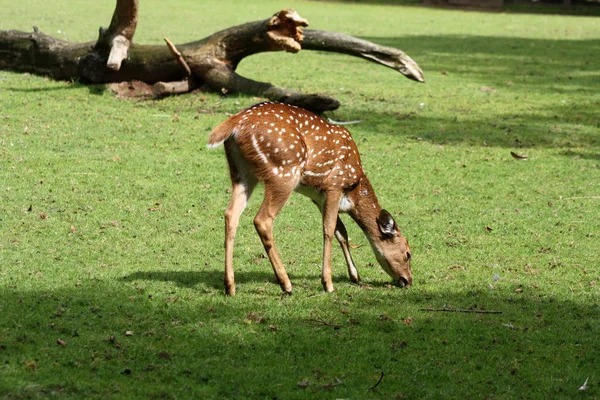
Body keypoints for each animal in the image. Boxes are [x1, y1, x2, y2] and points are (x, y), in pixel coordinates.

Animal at [209, 101, 410, 294]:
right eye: (408, 253)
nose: (408, 280)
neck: (354, 191)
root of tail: (235, 123)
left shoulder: (318, 198)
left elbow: (341, 232)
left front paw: (355, 276)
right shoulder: (334, 186)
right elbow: (329, 230)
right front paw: (328, 283)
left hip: (240, 171)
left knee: (231, 214)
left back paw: (230, 286)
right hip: (283, 172)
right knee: (262, 219)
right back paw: (286, 284)